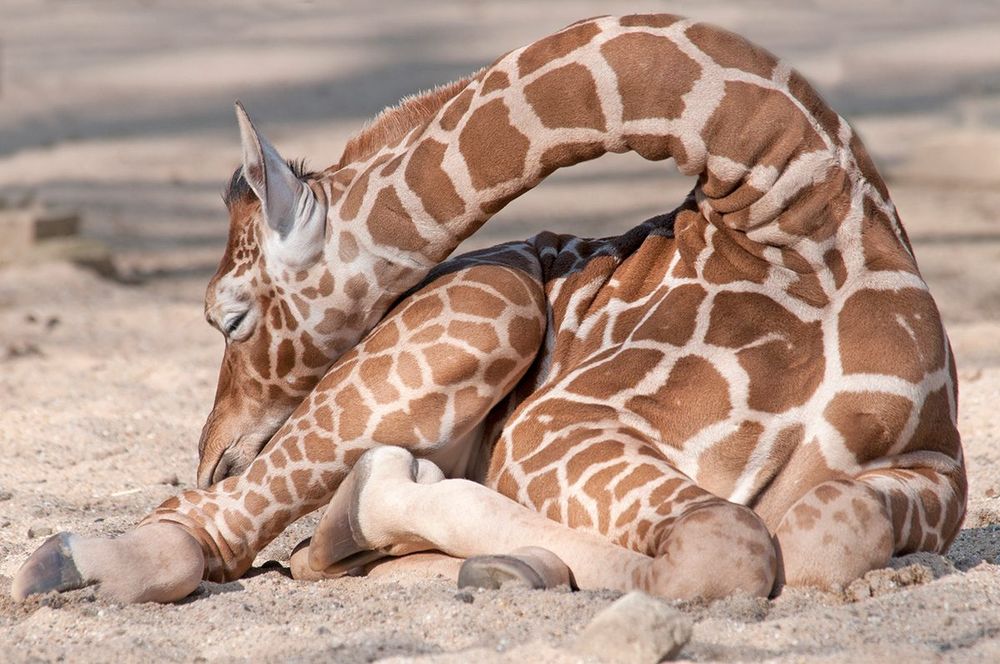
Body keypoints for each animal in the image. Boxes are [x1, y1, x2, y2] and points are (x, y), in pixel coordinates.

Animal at [13, 14, 966, 604]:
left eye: (229, 316)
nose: (213, 453)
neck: (800, 215)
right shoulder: (558, 428)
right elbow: (728, 550)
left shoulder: (937, 470)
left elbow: (820, 534)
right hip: (493, 303)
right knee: (215, 527)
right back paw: (84, 561)